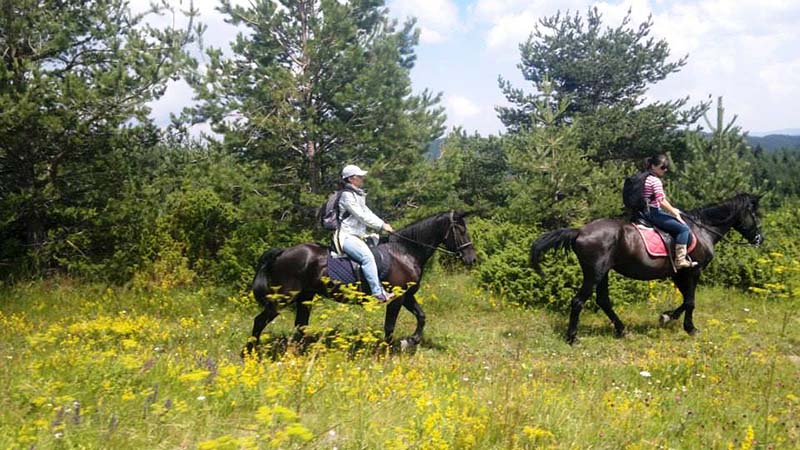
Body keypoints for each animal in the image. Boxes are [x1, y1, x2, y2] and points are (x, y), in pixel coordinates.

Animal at [245, 211, 476, 356]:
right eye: (461, 230)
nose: (472, 259)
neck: (405, 252)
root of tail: (282, 252)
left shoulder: (407, 296)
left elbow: (421, 317)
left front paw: (410, 341)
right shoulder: (397, 299)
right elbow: (389, 327)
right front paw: (387, 351)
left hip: (305, 297)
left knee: (300, 326)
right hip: (283, 298)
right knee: (260, 321)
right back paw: (250, 353)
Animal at [532, 193, 764, 344]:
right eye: (755, 215)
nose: (760, 239)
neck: (702, 229)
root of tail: (580, 231)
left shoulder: (678, 273)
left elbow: (685, 300)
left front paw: (667, 317)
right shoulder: (693, 271)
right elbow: (690, 301)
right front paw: (690, 328)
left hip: (604, 272)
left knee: (603, 301)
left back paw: (622, 330)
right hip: (595, 273)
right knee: (578, 301)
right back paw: (572, 338)